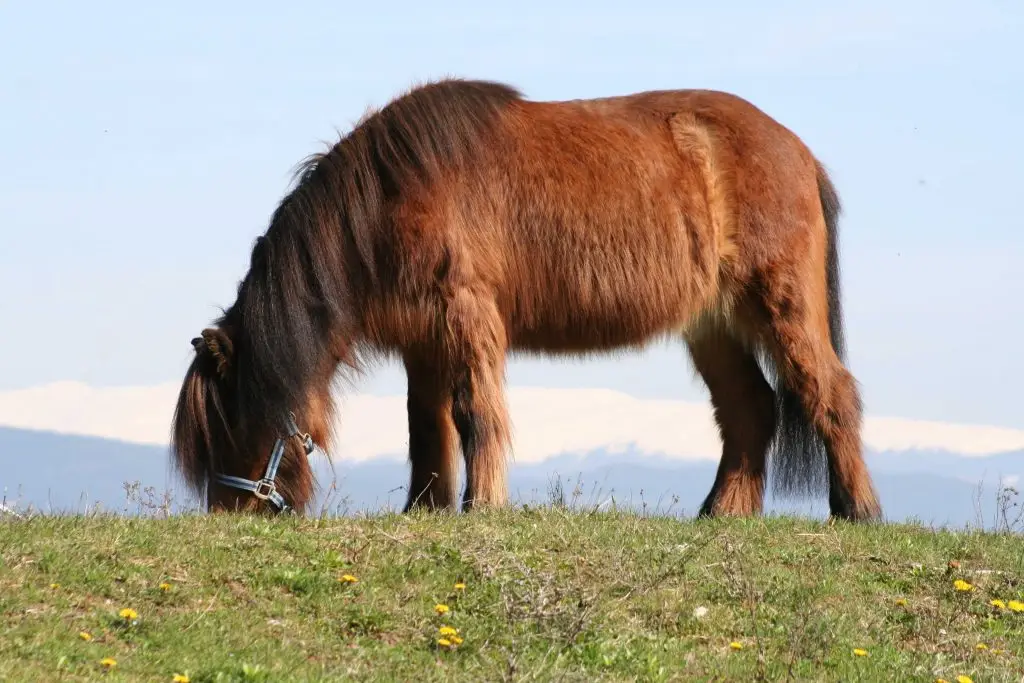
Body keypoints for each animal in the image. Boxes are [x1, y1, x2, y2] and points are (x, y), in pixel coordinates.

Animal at [171, 78, 882, 522]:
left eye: (231, 423)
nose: (232, 514)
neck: (389, 197)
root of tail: (799, 152)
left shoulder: (465, 313)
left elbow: (473, 414)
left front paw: (481, 505)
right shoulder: (423, 339)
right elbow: (426, 426)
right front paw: (426, 508)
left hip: (779, 305)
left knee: (829, 393)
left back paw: (856, 512)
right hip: (712, 324)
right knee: (750, 410)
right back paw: (723, 515)